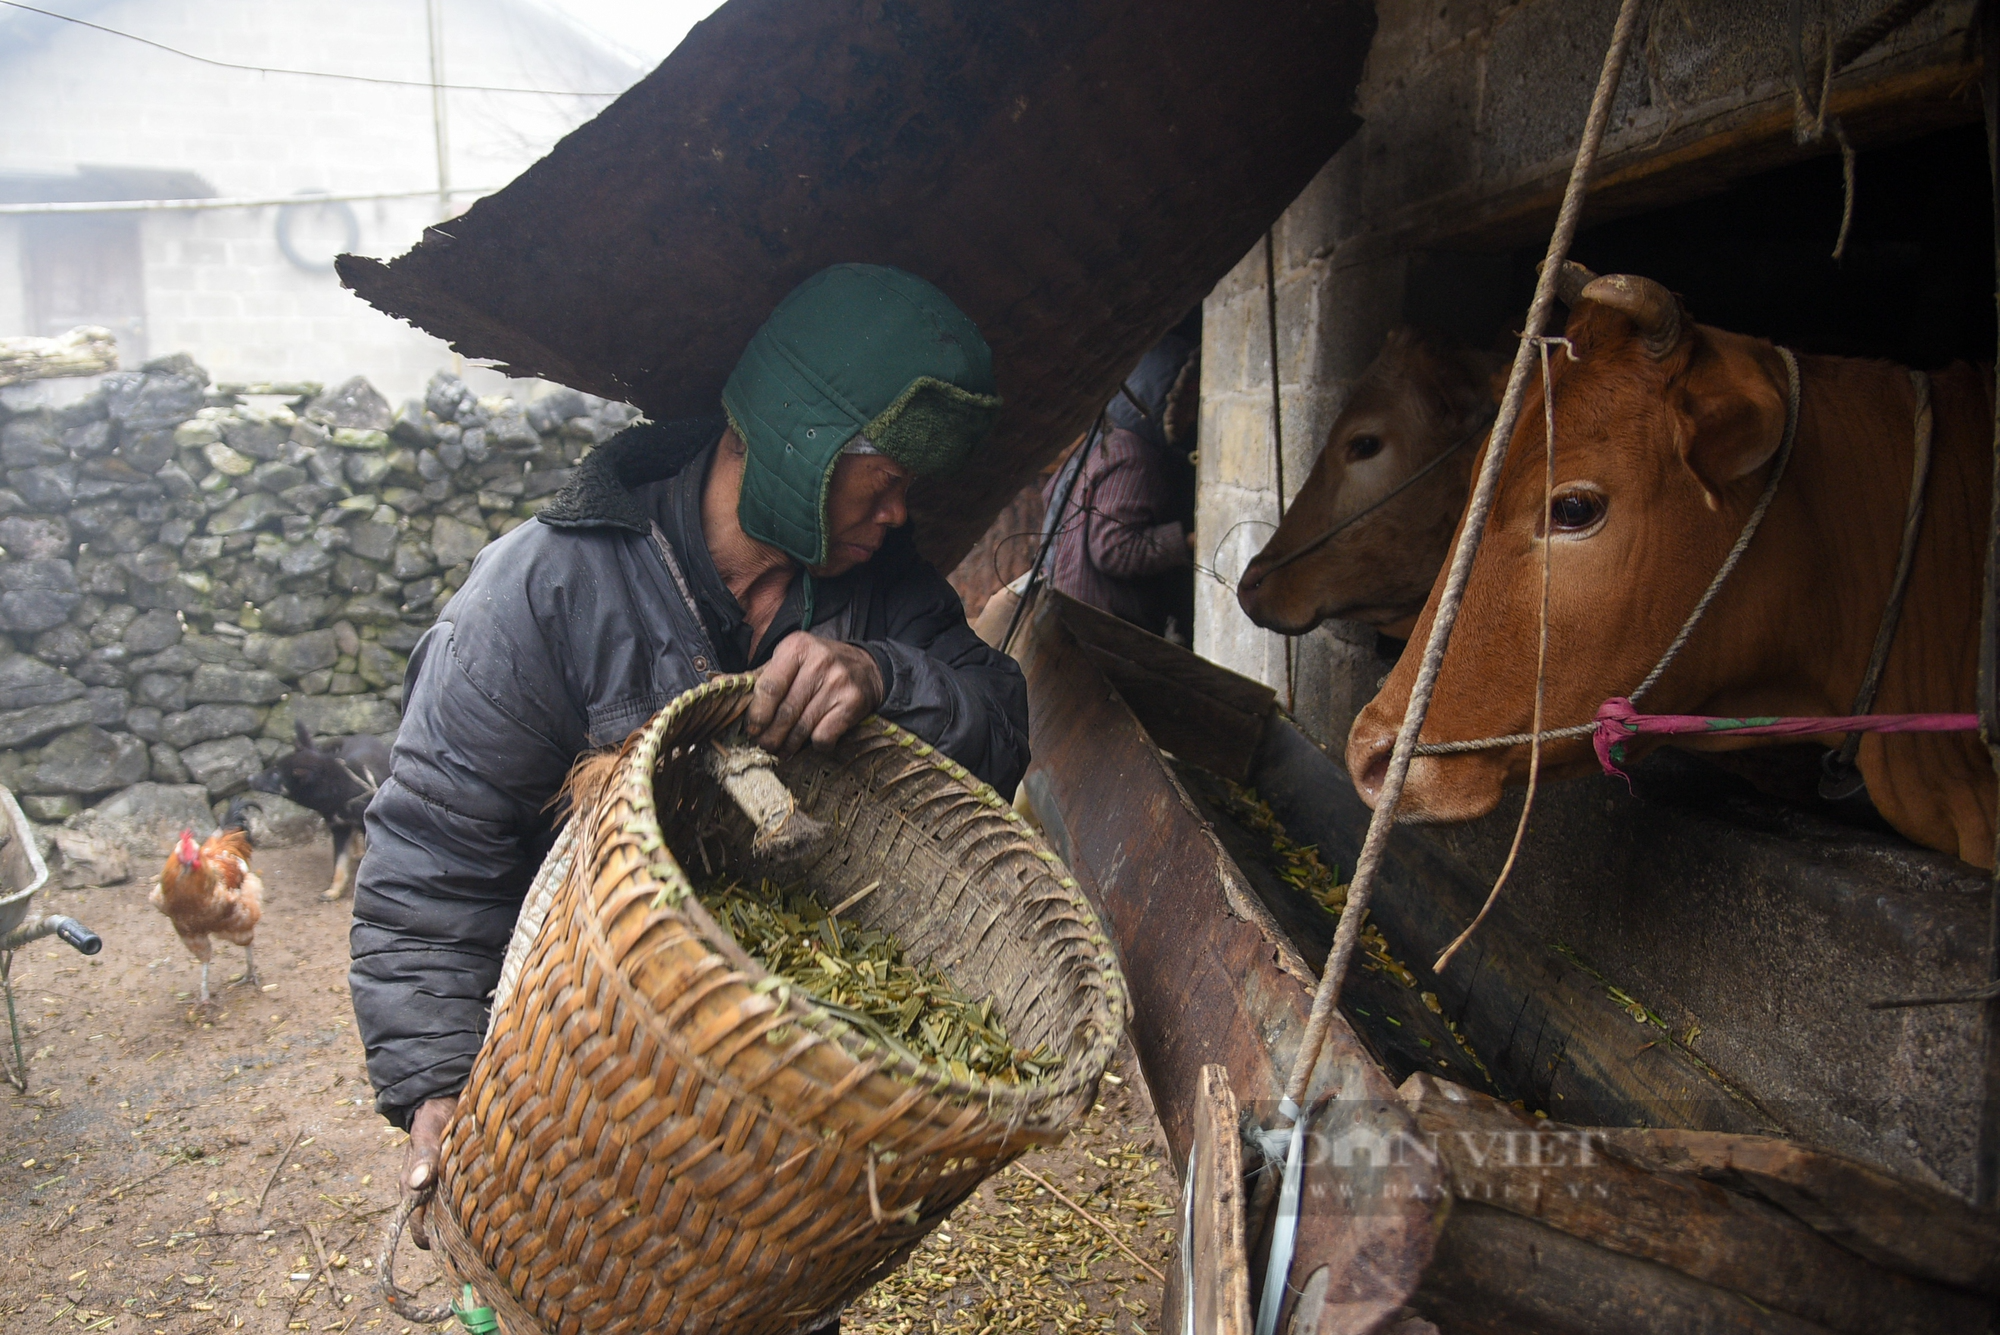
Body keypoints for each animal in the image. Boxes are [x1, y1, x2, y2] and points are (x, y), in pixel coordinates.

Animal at [250, 723, 390, 903]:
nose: (249, 778)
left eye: (276, 774)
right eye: (273, 767)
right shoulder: (339, 828)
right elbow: (339, 865)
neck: (342, 789)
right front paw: (334, 891)